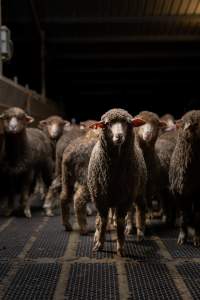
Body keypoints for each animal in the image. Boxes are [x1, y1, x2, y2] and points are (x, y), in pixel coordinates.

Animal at [87, 109, 147, 256]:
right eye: (108, 124)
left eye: (127, 123)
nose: (119, 136)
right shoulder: (99, 198)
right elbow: (103, 221)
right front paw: (99, 244)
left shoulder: (125, 198)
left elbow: (120, 223)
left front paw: (120, 248)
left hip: (139, 190)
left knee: (140, 209)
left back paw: (140, 233)